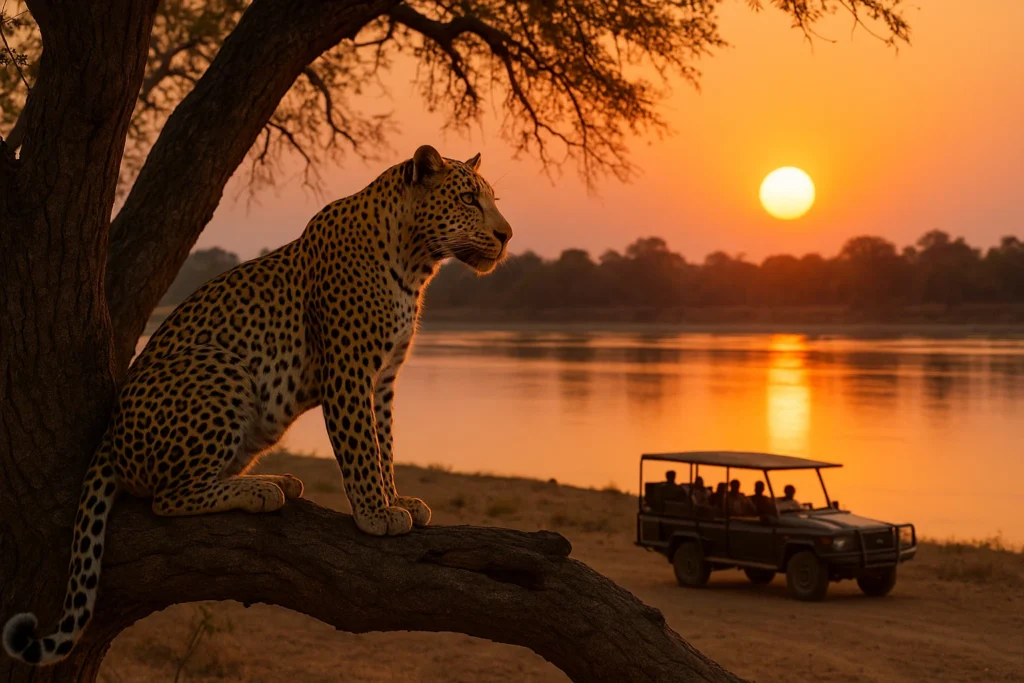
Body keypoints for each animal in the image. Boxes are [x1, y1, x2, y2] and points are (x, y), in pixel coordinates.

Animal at [2, 145, 512, 666]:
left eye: (492, 199)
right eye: (469, 199)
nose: (506, 235)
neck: (415, 263)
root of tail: (108, 436)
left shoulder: (384, 379)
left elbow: (384, 444)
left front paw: (396, 499)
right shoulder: (349, 370)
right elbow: (361, 449)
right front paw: (375, 513)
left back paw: (276, 481)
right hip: (223, 367)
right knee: (166, 497)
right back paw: (261, 490)